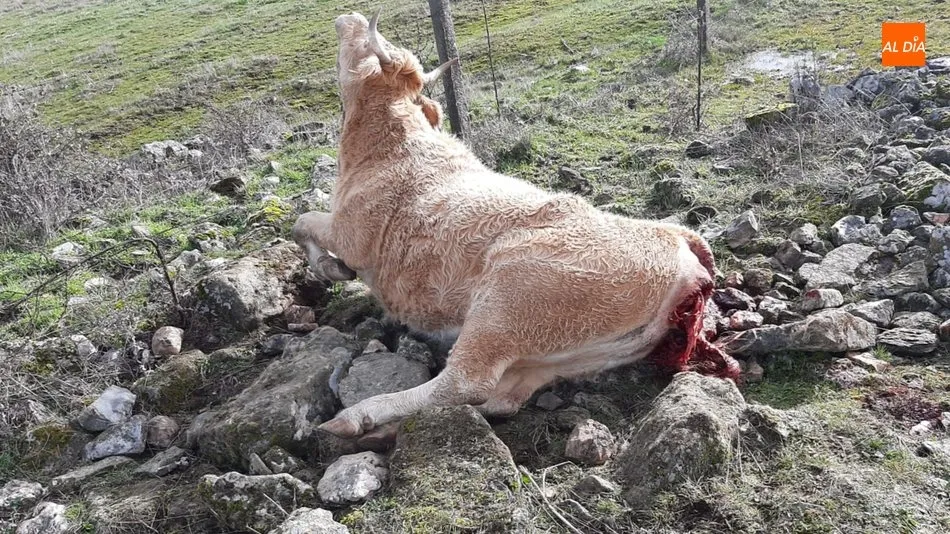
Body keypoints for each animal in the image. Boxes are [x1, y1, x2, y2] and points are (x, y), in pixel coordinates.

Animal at [292, 10, 740, 440]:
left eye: (365, 45)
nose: (347, 17)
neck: (391, 147)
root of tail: (682, 244)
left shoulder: (351, 234)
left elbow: (302, 222)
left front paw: (329, 267)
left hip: (506, 301)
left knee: (465, 382)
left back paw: (361, 415)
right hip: (570, 355)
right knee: (501, 398)